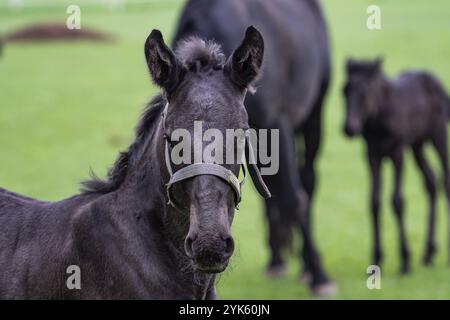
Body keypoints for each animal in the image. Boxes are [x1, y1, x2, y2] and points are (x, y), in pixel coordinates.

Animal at [174, 0, 336, 296]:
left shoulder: (277, 125)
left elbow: (294, 198)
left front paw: (319, 276)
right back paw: (277, 260)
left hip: (313, 115)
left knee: (307, 182)